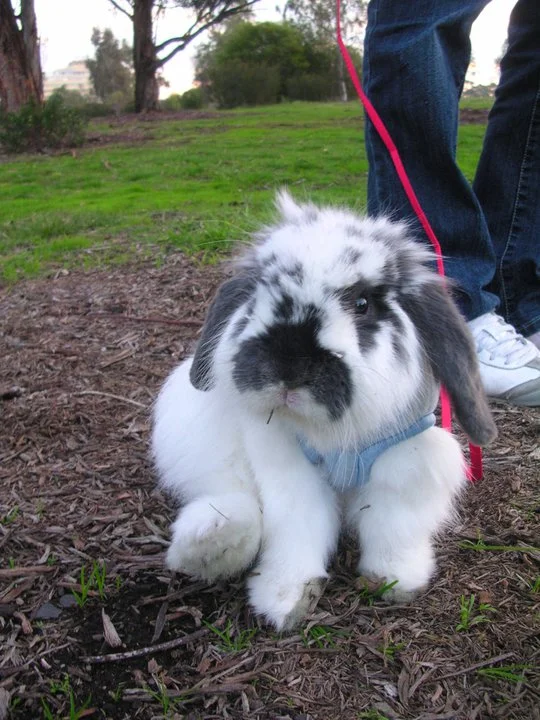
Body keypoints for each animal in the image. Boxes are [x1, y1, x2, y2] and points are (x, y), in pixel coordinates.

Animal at [152, 191, 497, 631]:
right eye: (259, 295)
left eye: (363, 303)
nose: (288, 366)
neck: (335, 437)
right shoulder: (290, 471)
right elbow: (298, 528)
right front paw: (285, 596)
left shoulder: (407, 464)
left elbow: (393, 524)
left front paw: (393, 578)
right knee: (229, 493)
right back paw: (213, 539)